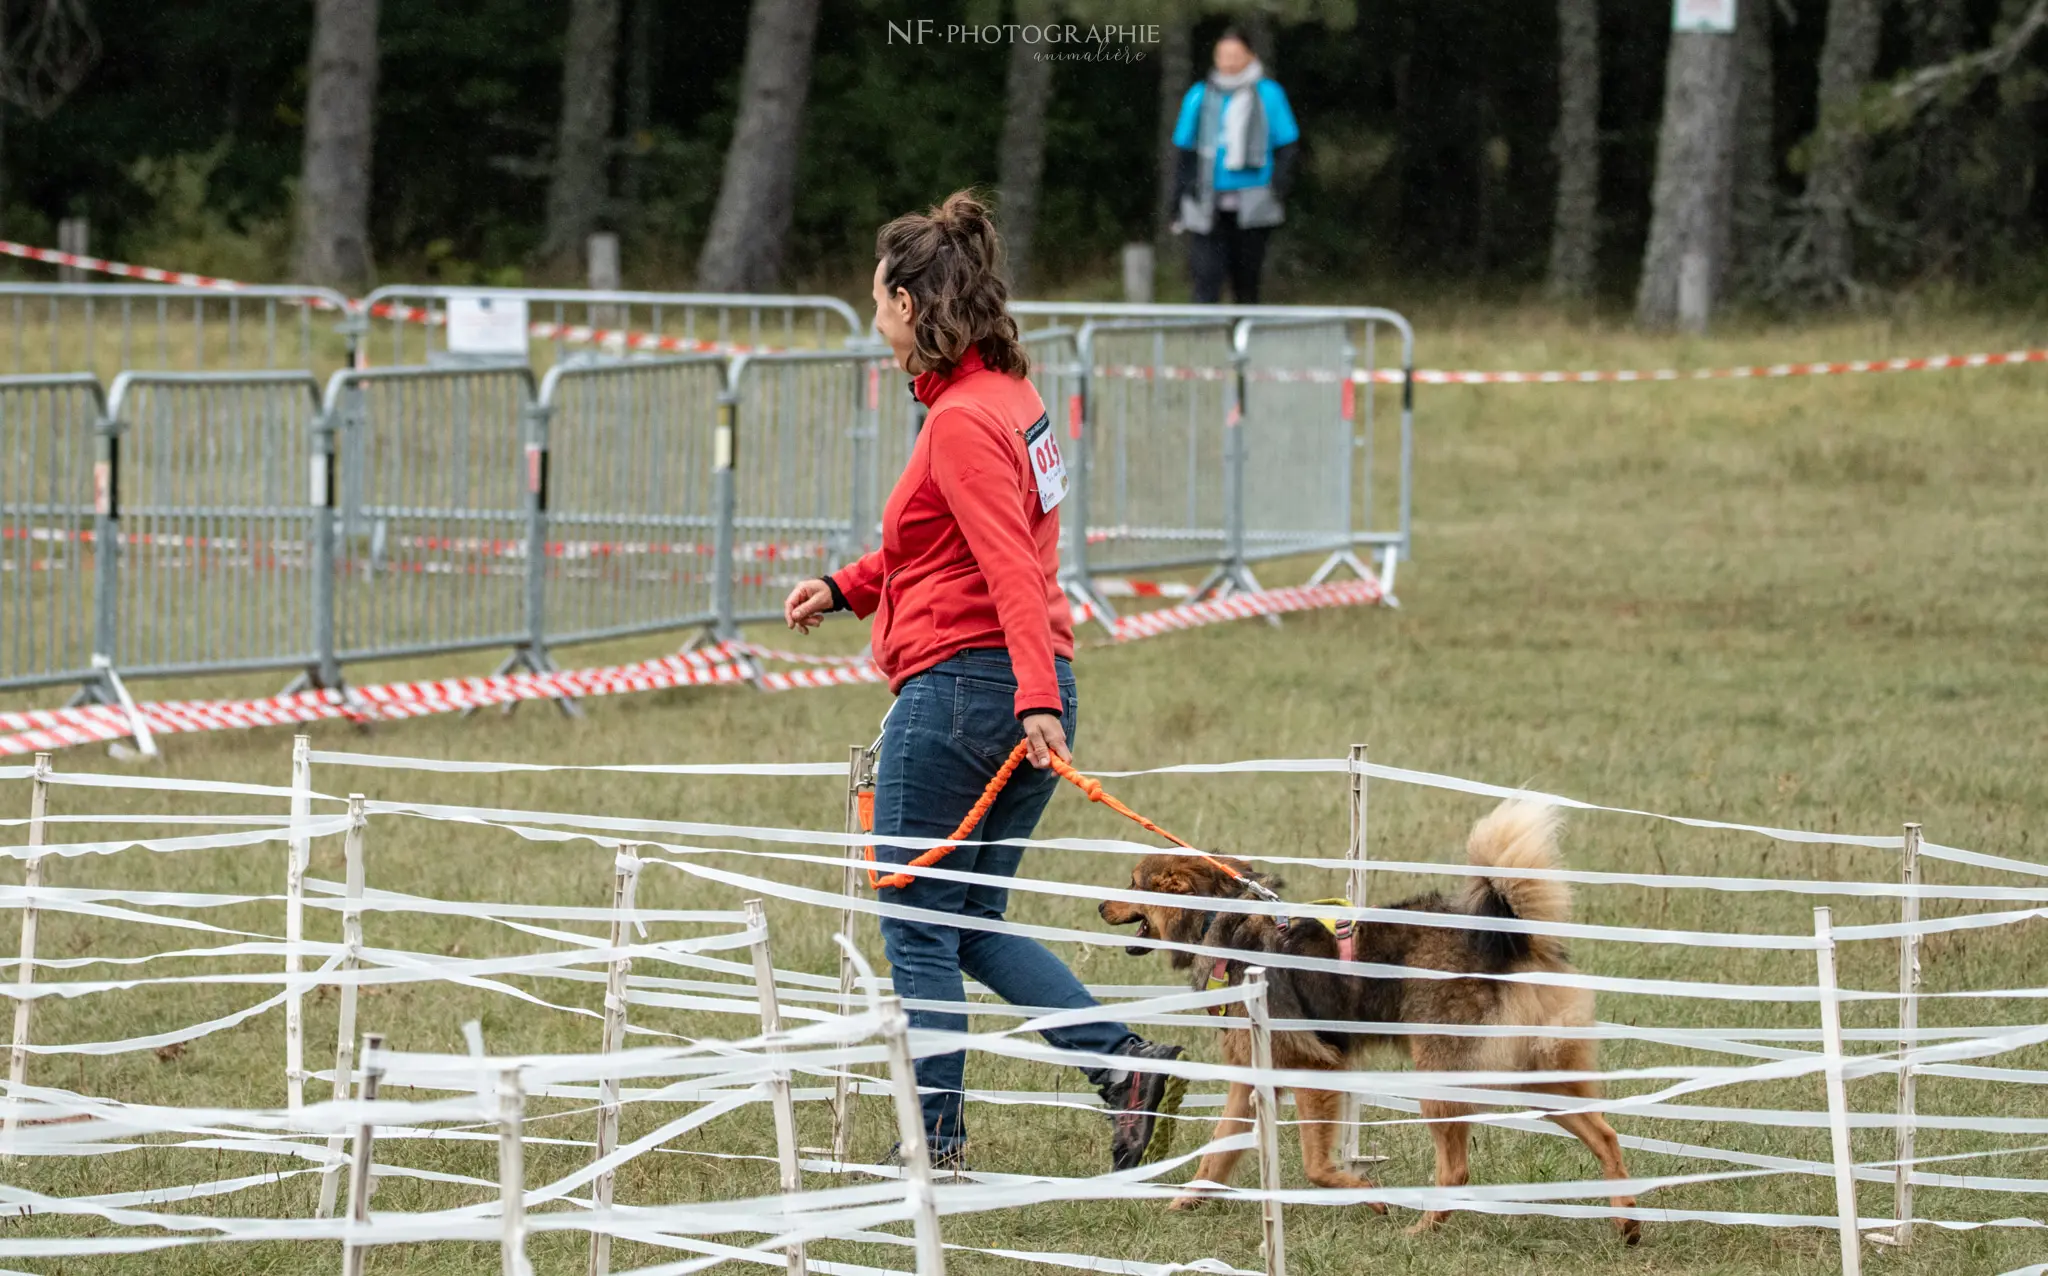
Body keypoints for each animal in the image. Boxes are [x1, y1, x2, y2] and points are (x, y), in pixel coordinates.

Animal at [1097, 802, 1638, 1245]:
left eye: (1132, 883)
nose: (1099, 904)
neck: (1221, 920)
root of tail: (1513, 940)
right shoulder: (1253, 1076)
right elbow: (1216, 1153)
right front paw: (1184, 1202)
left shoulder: (1315, 1070)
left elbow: (1317, 1166)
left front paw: (1368, 1194)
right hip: (1534, 1074)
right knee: (1605, 1135)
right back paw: (1627, 1220)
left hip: (1442, 1078)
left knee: (1457, 1170)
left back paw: (1419, 1229)